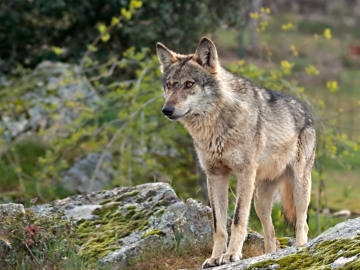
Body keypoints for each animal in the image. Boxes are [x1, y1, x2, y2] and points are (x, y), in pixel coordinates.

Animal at [155, 37, 316, 268]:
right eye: (169, 85)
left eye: (189, 84)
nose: (166, 110)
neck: (215, 126)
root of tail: (306, 112)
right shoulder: (215, 176)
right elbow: (219, 226)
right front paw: (215, 258)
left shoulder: (243, 174)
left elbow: (238, 220)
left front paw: (231, 255)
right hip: (259, 200)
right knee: (271, 234)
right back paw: (268, 257)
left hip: (298, 186)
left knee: (302, 224)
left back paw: (300, 250)